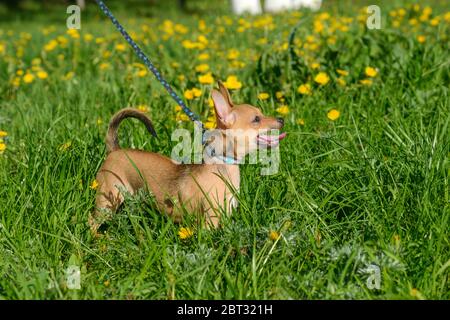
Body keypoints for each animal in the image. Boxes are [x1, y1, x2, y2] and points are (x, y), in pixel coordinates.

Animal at [88, 82, 284, 232]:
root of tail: (114, 151)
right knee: (92, 221)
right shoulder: (210, 220)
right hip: (107, 201)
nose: (281, 119)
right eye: (256, 119)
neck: (223, 164)